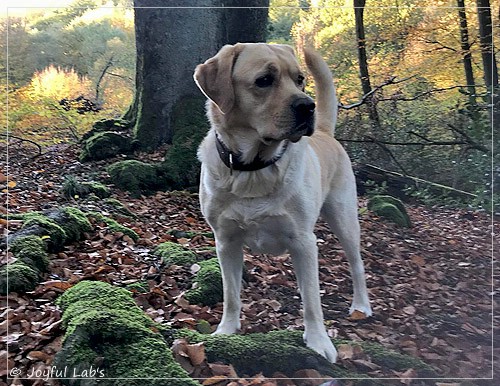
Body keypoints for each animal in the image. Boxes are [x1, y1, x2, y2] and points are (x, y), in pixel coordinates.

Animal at [194, 43, 372, 364]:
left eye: (299, 79)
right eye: (264, 80)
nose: (308, 106)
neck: (253, 170)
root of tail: (324, 131)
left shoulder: (303, 242)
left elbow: (312, 301)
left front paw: (319, 342)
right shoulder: (226, 241)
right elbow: (230, 294)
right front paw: (226, 331)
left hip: (344, 219)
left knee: (357, 265)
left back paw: (361, 306)